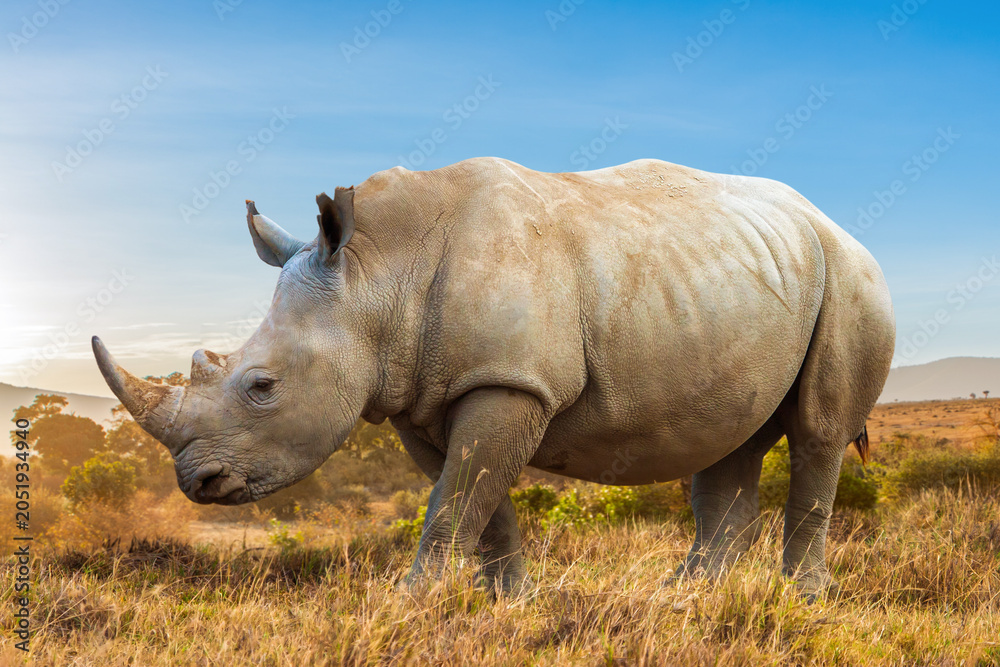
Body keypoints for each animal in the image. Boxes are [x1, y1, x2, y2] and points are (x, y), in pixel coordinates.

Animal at [93, 157, 894, 597]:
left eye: (262, 387)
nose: (199, 483)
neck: (376, 274)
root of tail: (830, 221)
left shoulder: (509, 381)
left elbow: (458, 497)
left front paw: (409, 601)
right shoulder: (423, 395)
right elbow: (475, 497)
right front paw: (507, 601)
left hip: (854, 278)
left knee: (818, 431)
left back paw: (800, 599)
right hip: (744, 282)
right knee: (728, 442)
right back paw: (686, 599)